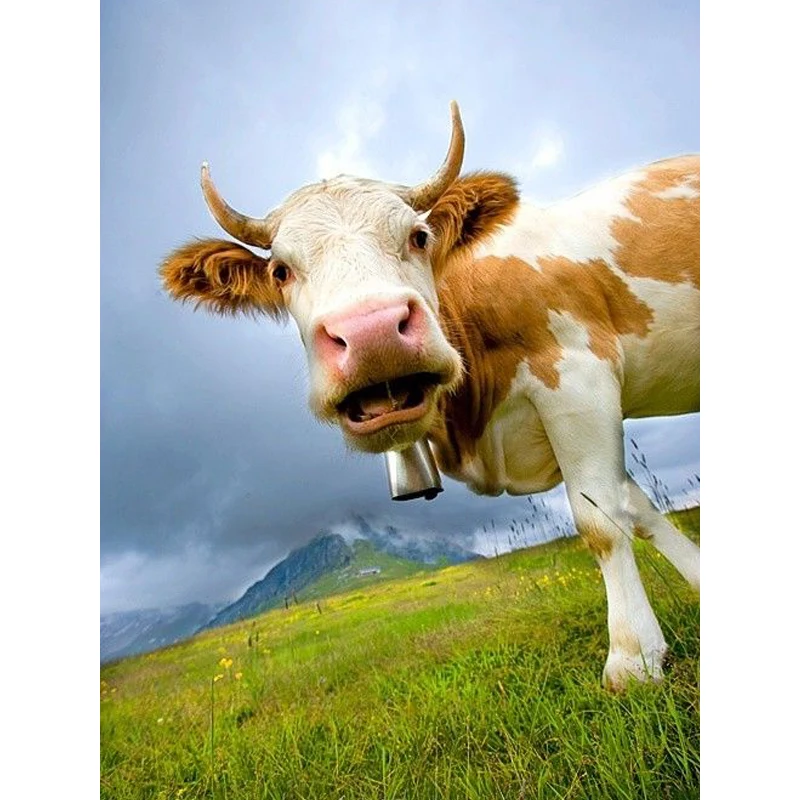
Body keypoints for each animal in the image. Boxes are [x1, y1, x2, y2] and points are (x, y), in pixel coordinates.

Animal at [160, 102, 699, 691]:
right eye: (280, 270)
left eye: (418, 237)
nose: (372, 332)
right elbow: (638, 508)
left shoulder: (578, 378)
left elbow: (600, 520)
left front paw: (633, 658)